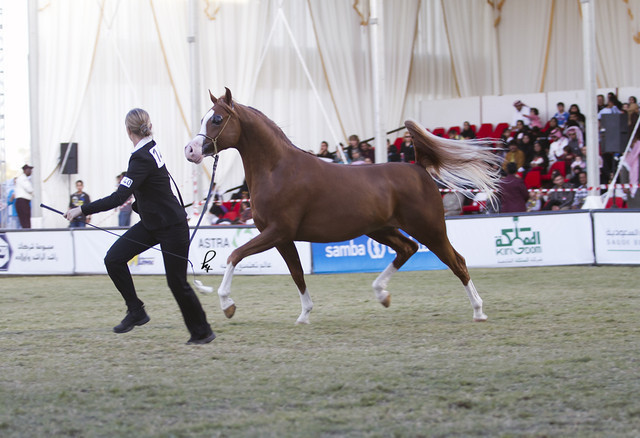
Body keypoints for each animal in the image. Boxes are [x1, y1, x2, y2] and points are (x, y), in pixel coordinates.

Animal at [185, 88, 502, 324]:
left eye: (216, 119)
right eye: (204, 118)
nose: (190, 150)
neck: (278, 170)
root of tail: (418, 168)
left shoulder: (277, 232)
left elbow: (234, 255)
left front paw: (227, 304)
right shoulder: (283, 238)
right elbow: (297, 273)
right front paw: (304, 315)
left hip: (430, 229)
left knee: (457, 262)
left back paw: (479, 311)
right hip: (381, 229)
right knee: (407, 249)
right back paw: (381, 294)